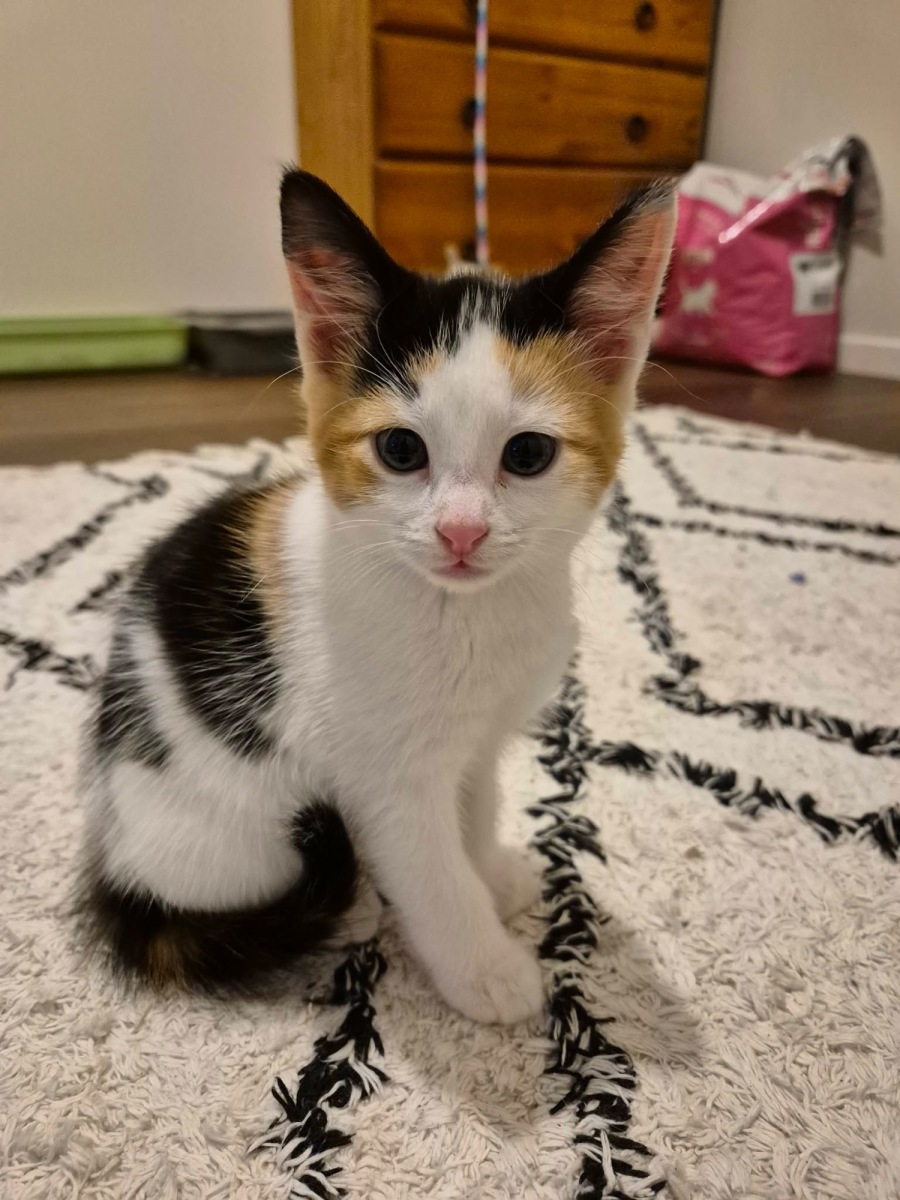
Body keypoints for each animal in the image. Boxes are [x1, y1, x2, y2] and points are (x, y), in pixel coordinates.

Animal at [78, 169, 674, 1024]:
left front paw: (491, 869)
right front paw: (488, 968)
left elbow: (478, 802)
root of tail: (114, 861)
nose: (461, 531)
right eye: (399, 449)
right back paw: (348, 908)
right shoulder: (384, 780)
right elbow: (431, 874)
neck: (468, 615)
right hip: (232, 822)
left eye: (529, 454)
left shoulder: (481, 740)